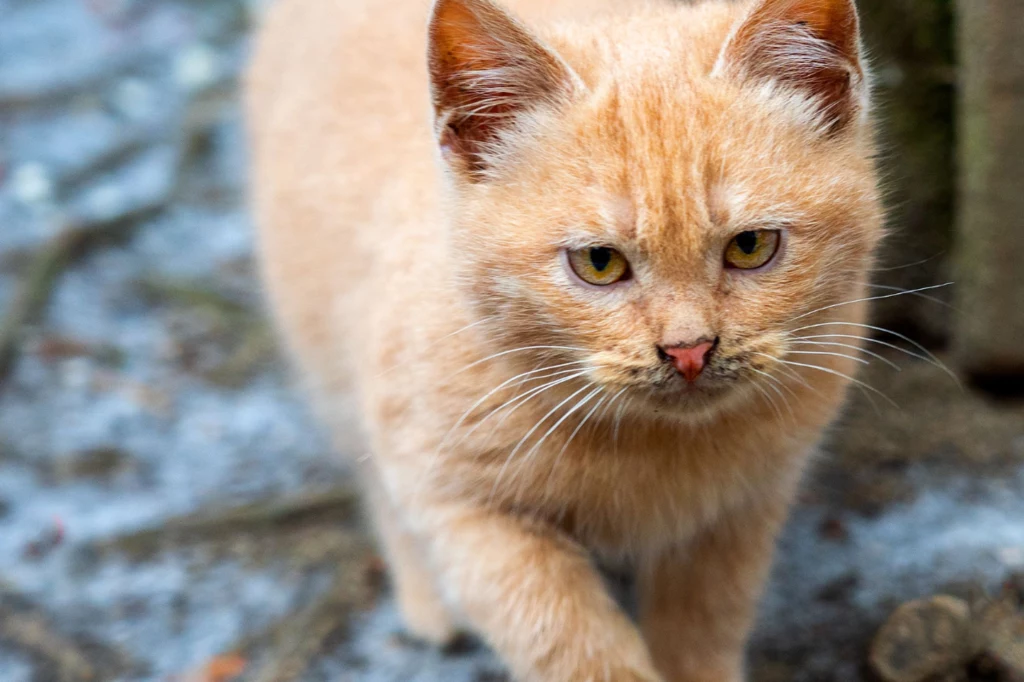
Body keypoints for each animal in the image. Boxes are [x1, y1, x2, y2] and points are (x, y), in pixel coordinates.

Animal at [245, 0, 880, 675]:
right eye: (598, 262)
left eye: (751, 246)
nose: (688, 350)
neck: (654, 450)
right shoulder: (461, 507)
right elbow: (569, 644)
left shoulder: (743, 508)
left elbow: (706, 621)